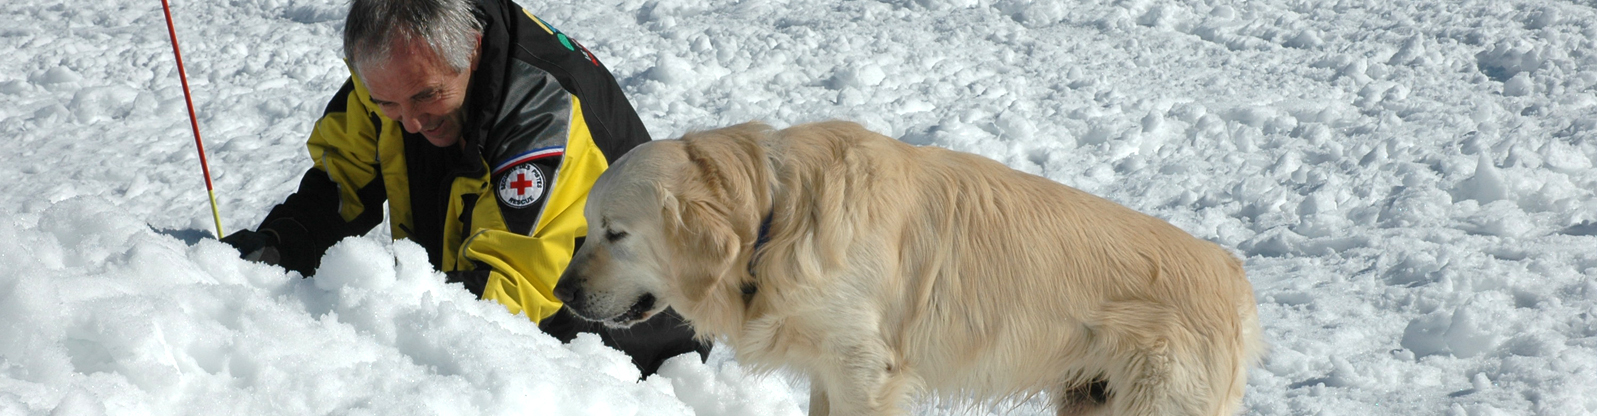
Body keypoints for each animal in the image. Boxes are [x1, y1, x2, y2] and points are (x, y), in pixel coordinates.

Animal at [555, 120, 1264, 416]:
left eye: (616, 234)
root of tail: (1232, 275)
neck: (775, 218)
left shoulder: (866, 372)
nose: (560, 291)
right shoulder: (828, 370)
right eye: (586, 226)